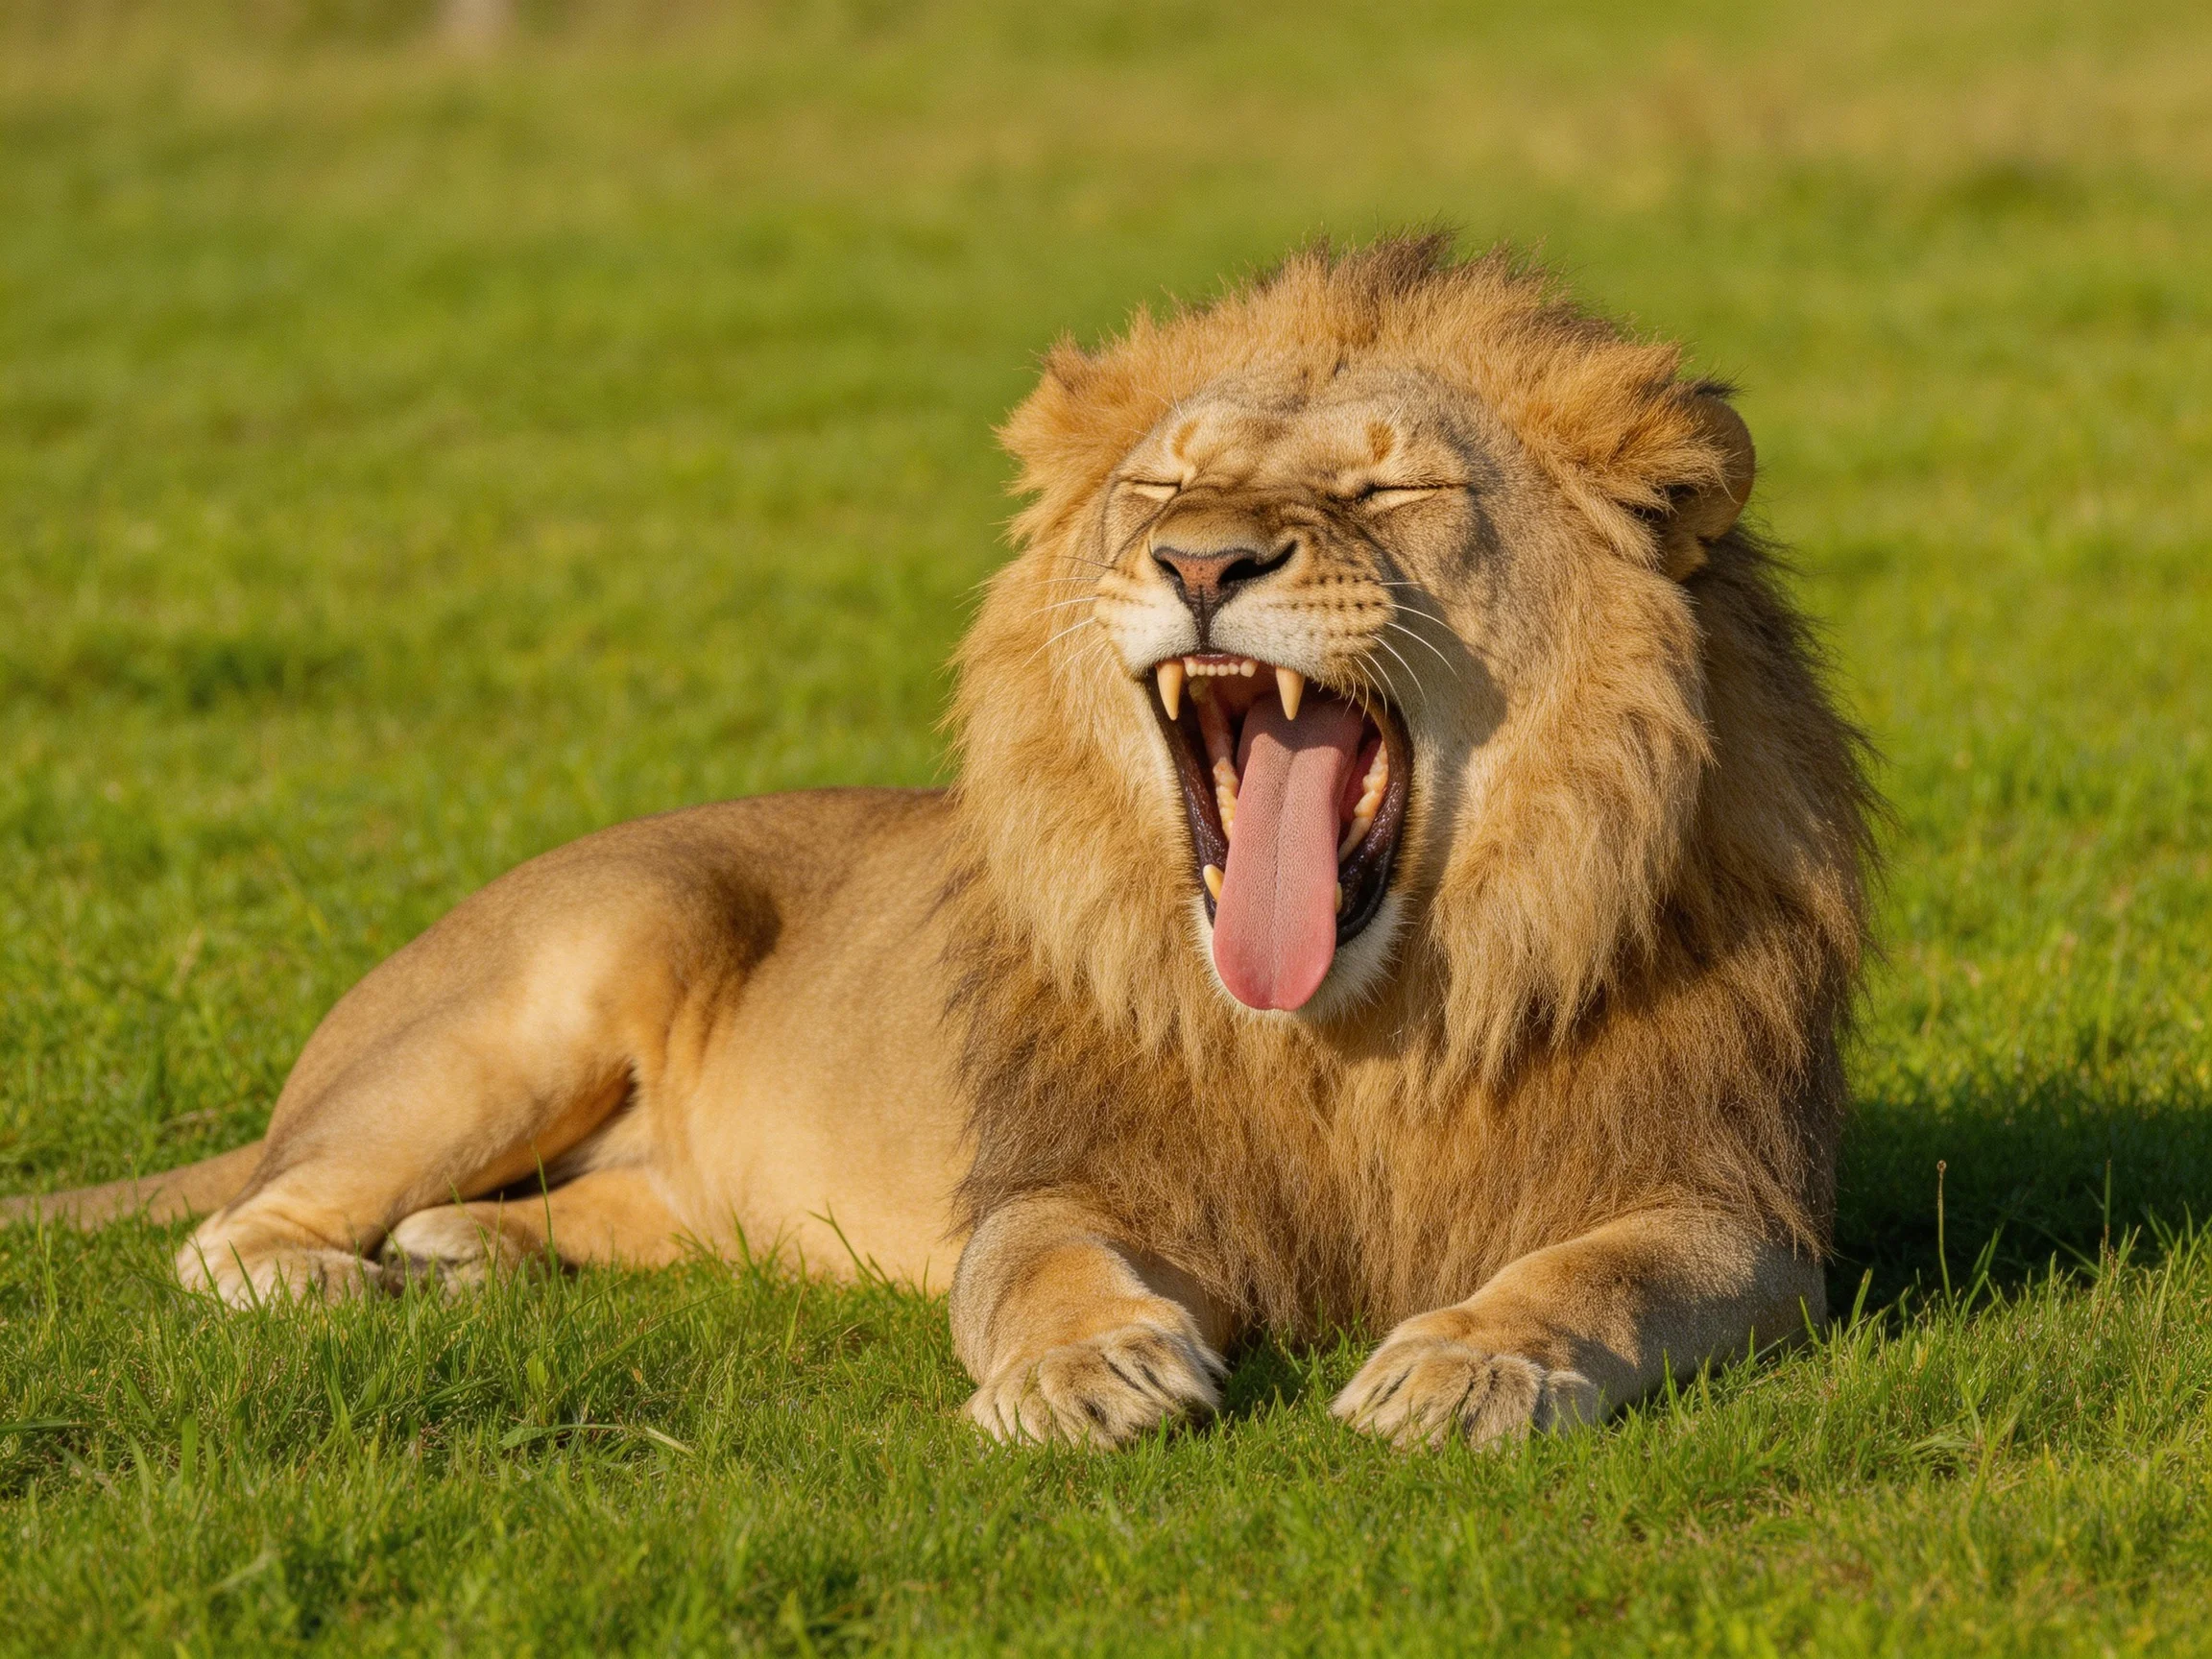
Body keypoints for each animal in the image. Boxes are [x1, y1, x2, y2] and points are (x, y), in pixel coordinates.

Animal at [1, 236, 1874, 1449]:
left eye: (1391, 492)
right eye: (1156, 488)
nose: (1201, 560)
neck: (1355, 1030)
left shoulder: (1741, 1206)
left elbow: (1601, 1274)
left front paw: (1467, 1364)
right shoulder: (1063, 1173)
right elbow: (1033, 1265)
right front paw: (1083, 1374)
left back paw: (473, 1255)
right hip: (550, 982)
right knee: (235, 1231)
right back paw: (347, 1286)